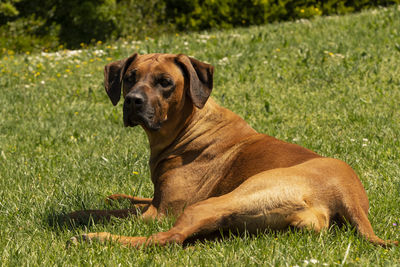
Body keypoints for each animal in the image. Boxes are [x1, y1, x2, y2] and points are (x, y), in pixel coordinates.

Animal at [69, 52, 396, 249]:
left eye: (165, 82)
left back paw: (95, 238)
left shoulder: (161, 211)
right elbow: (127, 199)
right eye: (129, 78)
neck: (191, 123)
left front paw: (76, 217)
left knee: (169, 238)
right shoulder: (156, 198)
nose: (132, 101)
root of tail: (346, 194)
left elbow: (109, 212)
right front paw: (111, 195)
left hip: (216, 202)